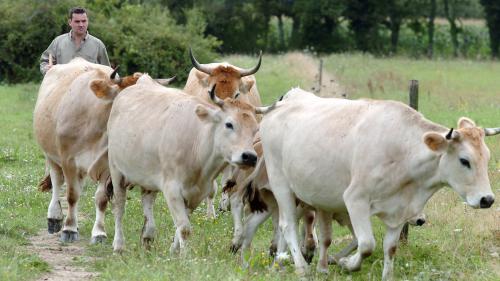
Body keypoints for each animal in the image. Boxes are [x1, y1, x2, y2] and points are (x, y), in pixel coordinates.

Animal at [101, 75, 274, 253]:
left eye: (255, 130)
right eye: (229, 124)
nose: (249, 157)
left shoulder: (196, 194)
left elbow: (181, 225)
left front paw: (173, 251)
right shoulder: (172, 190)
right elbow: (184, 228)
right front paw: (184, 256)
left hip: (148, 177)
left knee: (147, 202)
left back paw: (147, 236)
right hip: (116, 171)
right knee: (119, 207)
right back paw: (118, 245)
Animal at [256, 87, 498, 278]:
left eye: (486, 157)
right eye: (464, 160)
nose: (487, 199)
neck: (403, 152)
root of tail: (281, 104)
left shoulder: (400, 210)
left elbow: (389, 248)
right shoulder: (355, 200)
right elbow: (366, 245)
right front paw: (346, 263)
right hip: (281, 185)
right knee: (287, 225)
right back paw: (300, 267)